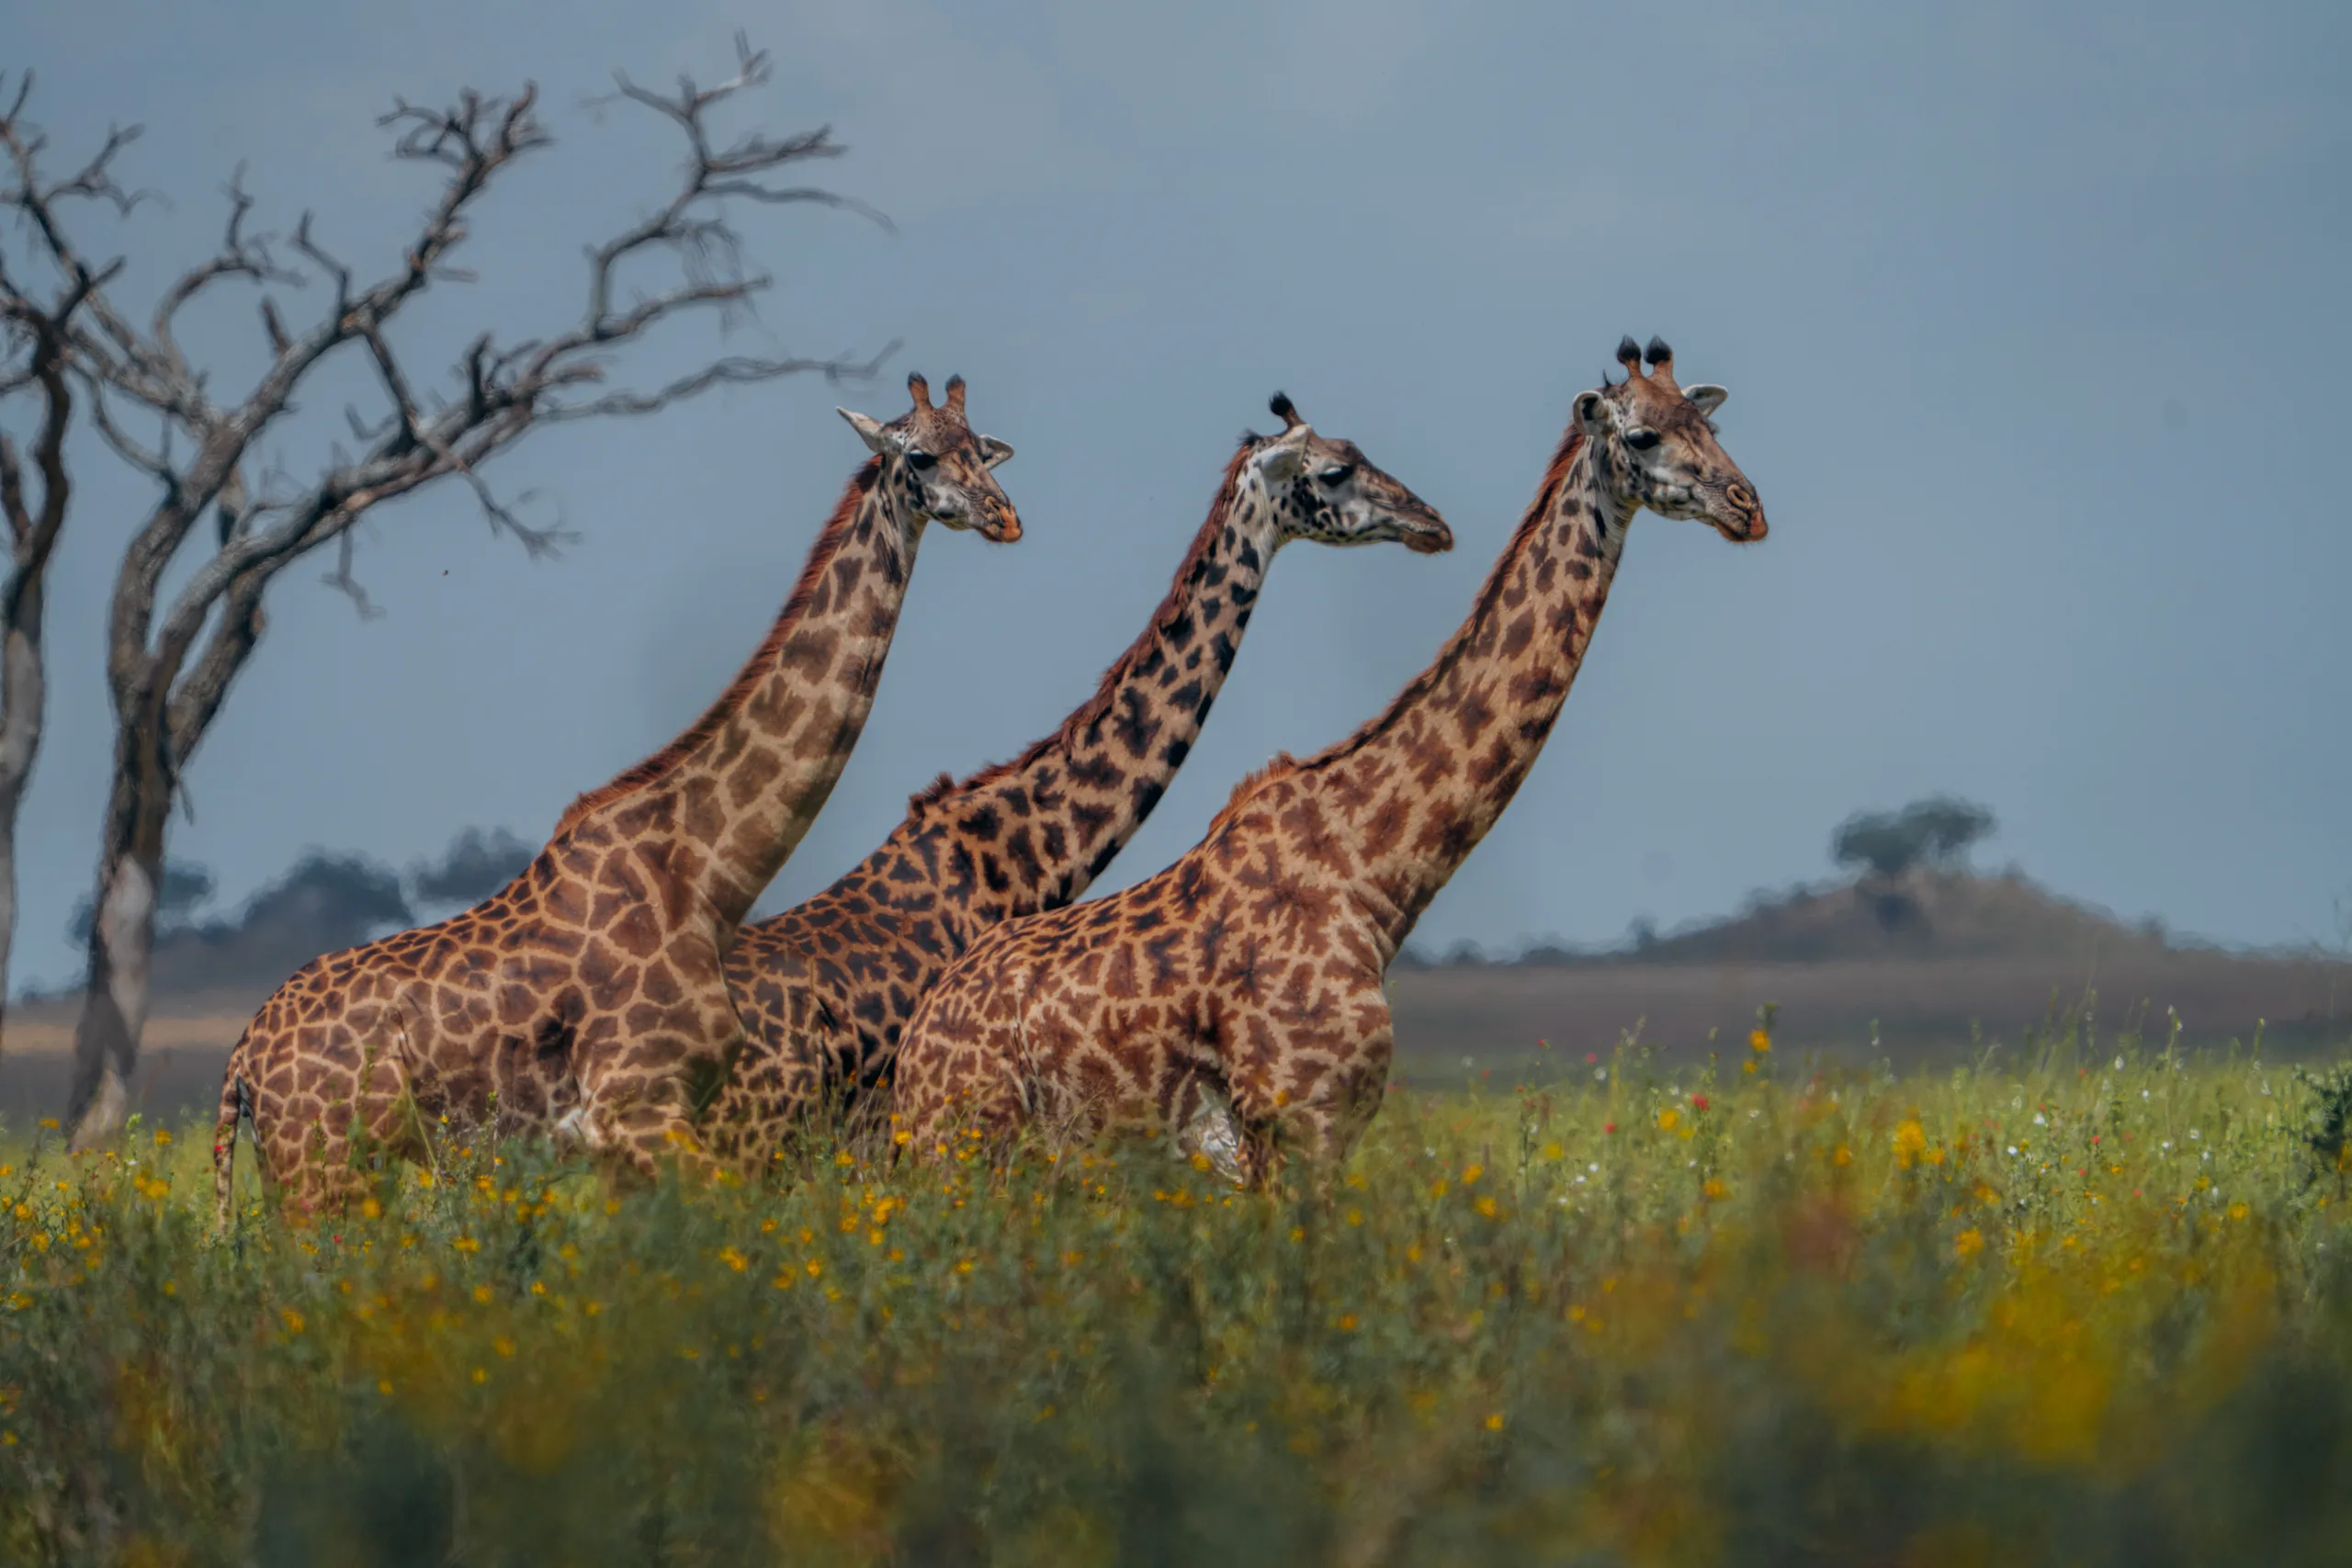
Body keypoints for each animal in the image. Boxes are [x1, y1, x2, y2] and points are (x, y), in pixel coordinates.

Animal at [213, 374, 1020, 1222]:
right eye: (920, 455)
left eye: (982, 447)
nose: (1005, 516)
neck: (704, 876)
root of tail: (242, 1062)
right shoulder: (637, 1104)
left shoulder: (654, 1120)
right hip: (319, 1172)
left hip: (316, 1172)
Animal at [891, 339, 1766, 1179]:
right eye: (1644, 436)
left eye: (1710, 424)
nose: (1747, 507)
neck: (1373, 867)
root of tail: (914, 1041)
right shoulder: (1297, 1123)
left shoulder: (1320, 1133)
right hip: (962, 1144)